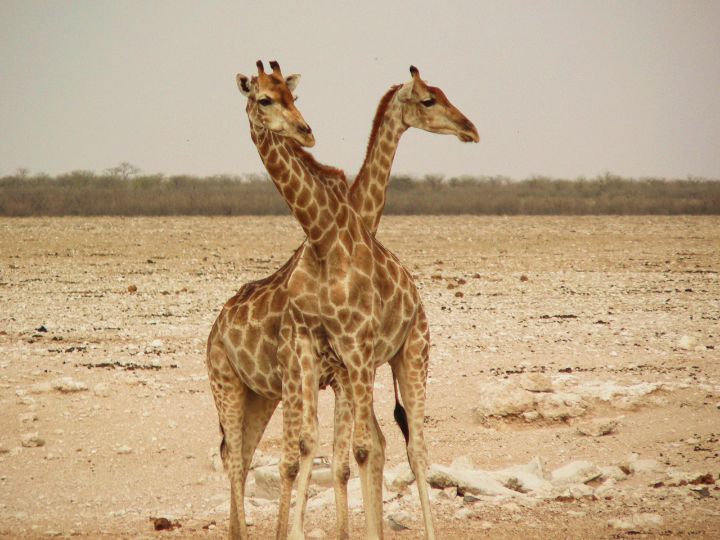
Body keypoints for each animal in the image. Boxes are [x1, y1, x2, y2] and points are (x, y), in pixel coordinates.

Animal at [206, 61, 478, 539]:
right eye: (265, 99)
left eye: (293, 97)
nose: (469, 128)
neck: (323, 239)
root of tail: (215, 327)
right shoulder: (310, 357)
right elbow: (307, 451)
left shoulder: (350, 360)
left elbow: (355, 453)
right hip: (231, 383)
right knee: (236, 457)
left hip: (407, 353)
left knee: (414, 447)